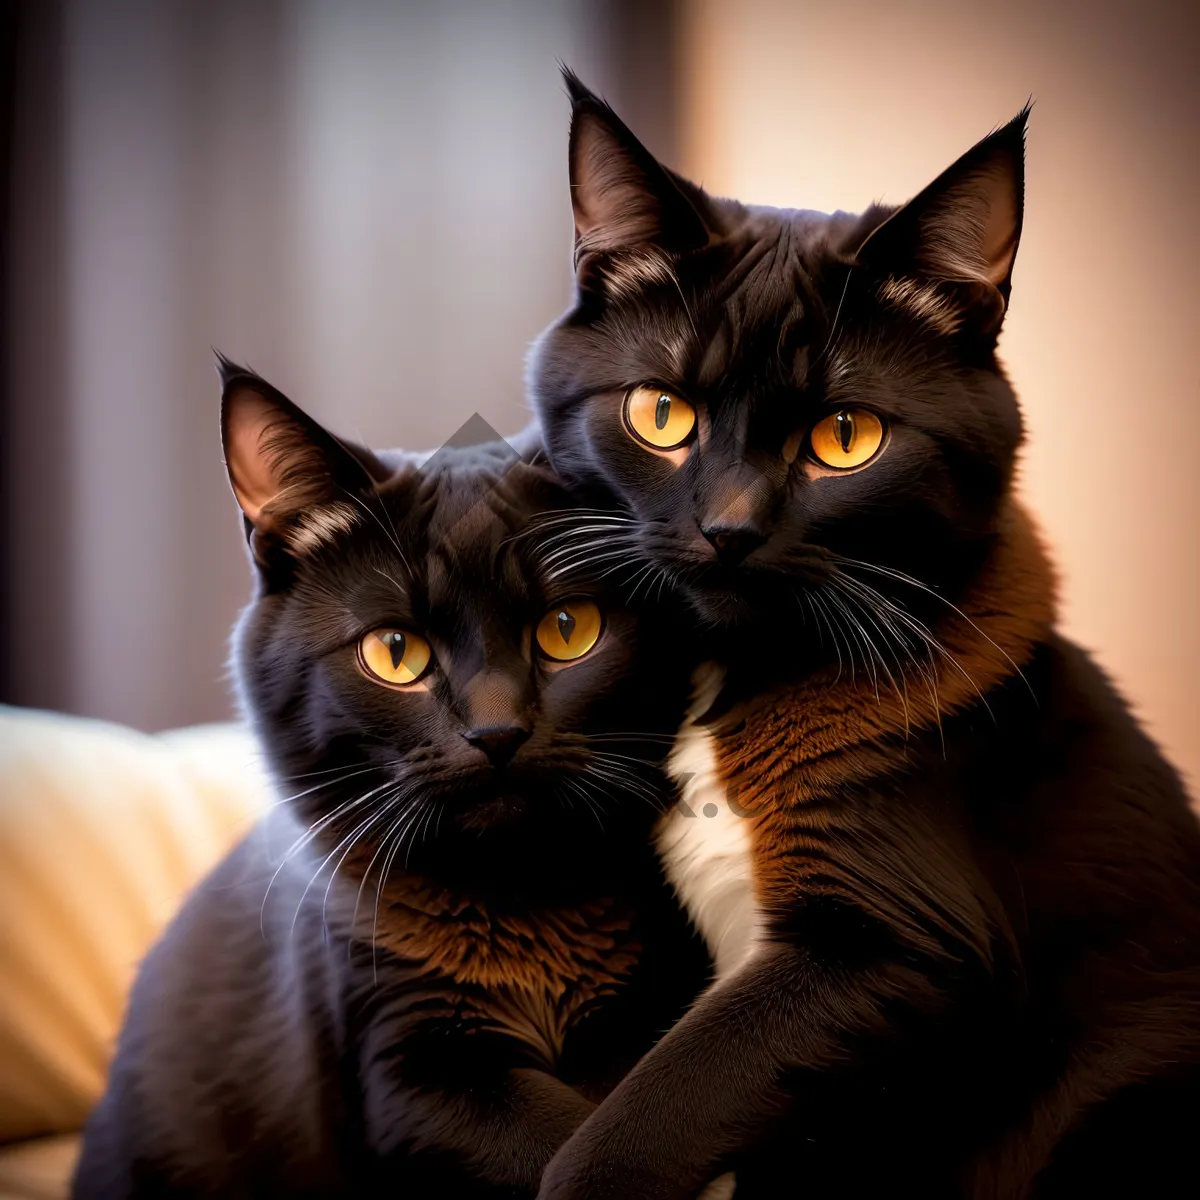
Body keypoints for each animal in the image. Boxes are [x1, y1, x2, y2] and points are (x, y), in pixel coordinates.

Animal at [70, 360, 705, 1195]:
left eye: (569, 629)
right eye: (395, 651)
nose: (496, 732)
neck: (520, 904)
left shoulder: (639, 1014)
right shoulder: (411, 1073)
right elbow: (561, 1142)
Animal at [530, 75, 1200, 1200]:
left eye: (845, 438)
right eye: (661, 412)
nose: (729, 528)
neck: (737, 678)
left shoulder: (899, 951)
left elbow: (631, 1130)